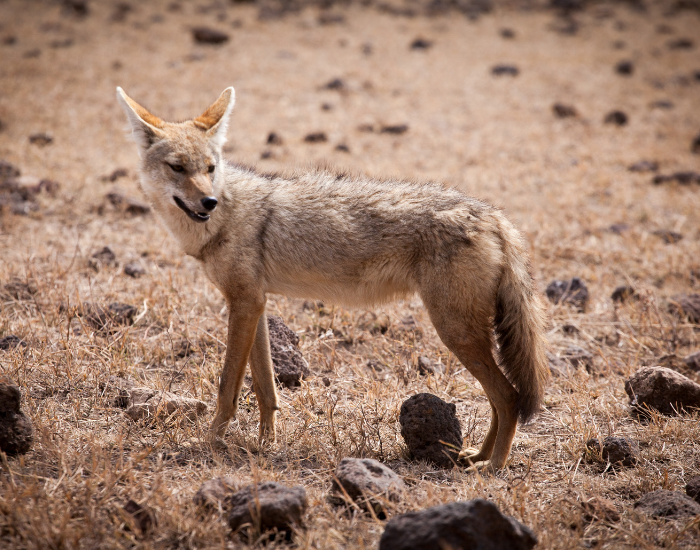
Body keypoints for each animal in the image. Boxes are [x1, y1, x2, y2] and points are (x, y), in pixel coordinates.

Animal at [116, 86, 548, 470]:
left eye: (210, 168)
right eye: (177, 168)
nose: (208, 201)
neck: (225, 216)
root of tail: (494, 216)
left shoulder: (243, 304)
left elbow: (227, 387)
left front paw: (209, 440)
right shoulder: (255, 304)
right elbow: (265, 387)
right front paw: (266, 443)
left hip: (454, 331)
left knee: (508, 397)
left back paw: (494, 466)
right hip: (465, 334)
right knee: (499, 398)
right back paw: (476, 455)